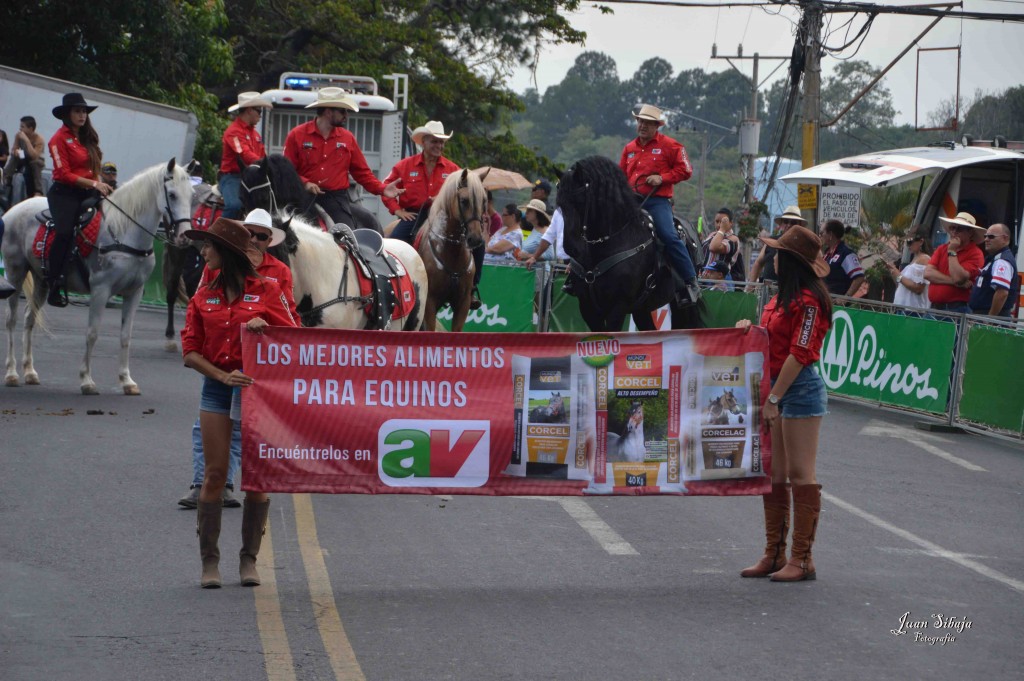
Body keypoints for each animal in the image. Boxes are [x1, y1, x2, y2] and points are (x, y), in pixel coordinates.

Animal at [2, 158, 192, 393]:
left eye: (192, 195)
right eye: (172, 195)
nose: (185, 236)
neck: (123, 233)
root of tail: (13, 210)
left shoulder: (134, 292)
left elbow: (126, 336)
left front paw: (126, 380)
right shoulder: (101, 289)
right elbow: (92, 333)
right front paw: (86, 380)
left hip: (42, 281)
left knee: (29, 319)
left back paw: (29, 371)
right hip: (15, 273)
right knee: (11, 320)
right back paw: (11, 373)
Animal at [552, 156, 704, 331]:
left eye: (581, 201)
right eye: (560, 204)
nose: (571, 247)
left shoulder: (618, 306)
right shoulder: (587, 308)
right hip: (641, 309)